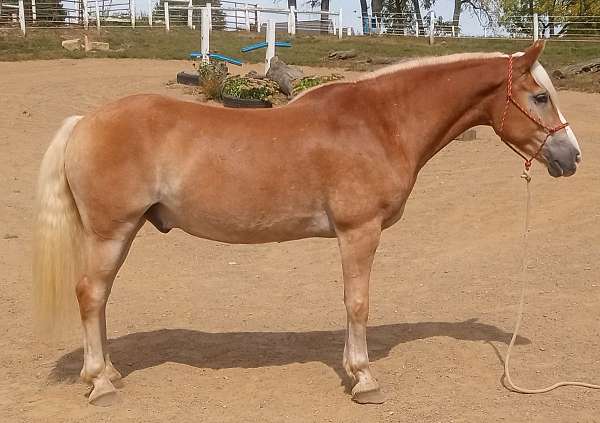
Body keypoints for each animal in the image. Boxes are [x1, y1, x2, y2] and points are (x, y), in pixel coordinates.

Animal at [34, 40, 580, 408]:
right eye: (539, 97)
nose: (571, 156)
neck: (380, 121)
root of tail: (84, 122)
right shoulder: (360, 231)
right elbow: (358, 303)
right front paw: (364, 379)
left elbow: (351, 303)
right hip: (111, 232)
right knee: (90, 295)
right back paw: (100, 383)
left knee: (100, 298)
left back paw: (109, 372)